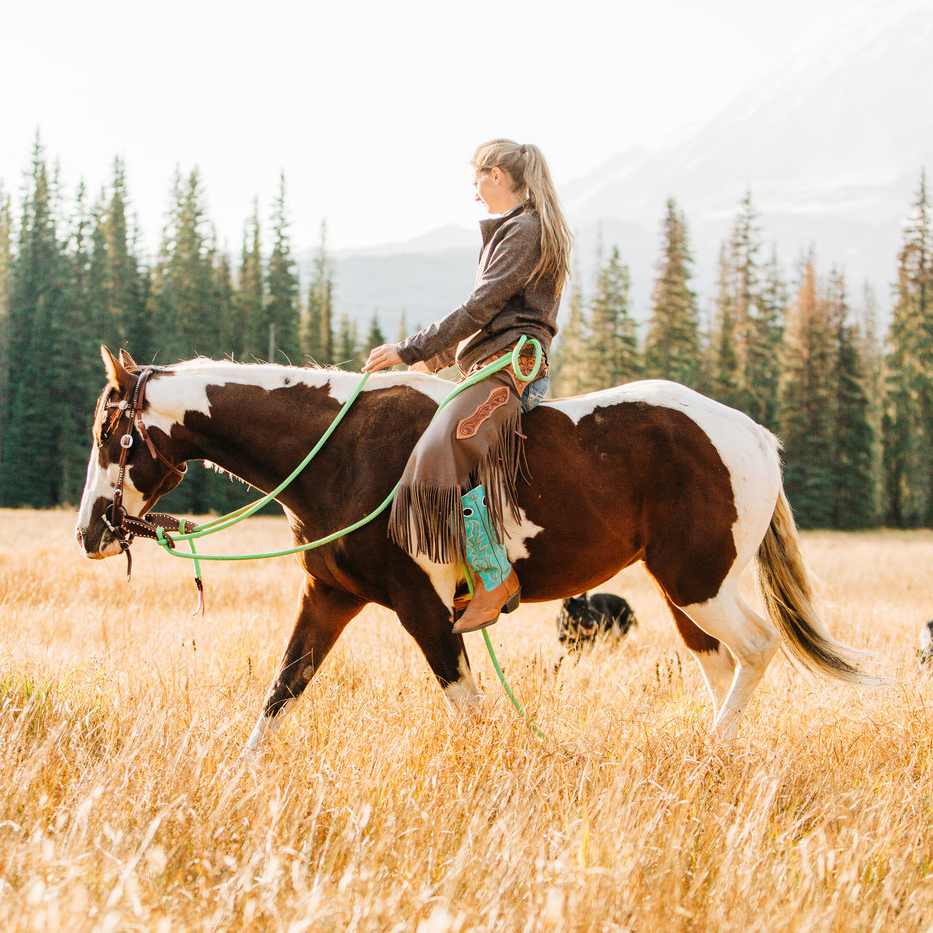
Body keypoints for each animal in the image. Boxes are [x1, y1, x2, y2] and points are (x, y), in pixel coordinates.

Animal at [76, 348, 872, 748]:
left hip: (699, 580)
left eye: (111, 432)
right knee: (723, 662)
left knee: (757, 648)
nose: (89, 532)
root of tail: (753, 436)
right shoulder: (328, 596)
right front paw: (241, 774)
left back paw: (714, 752)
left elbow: (466, 704)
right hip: (686, 590)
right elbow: (280, 692)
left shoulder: (423, 607)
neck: (341, 454)